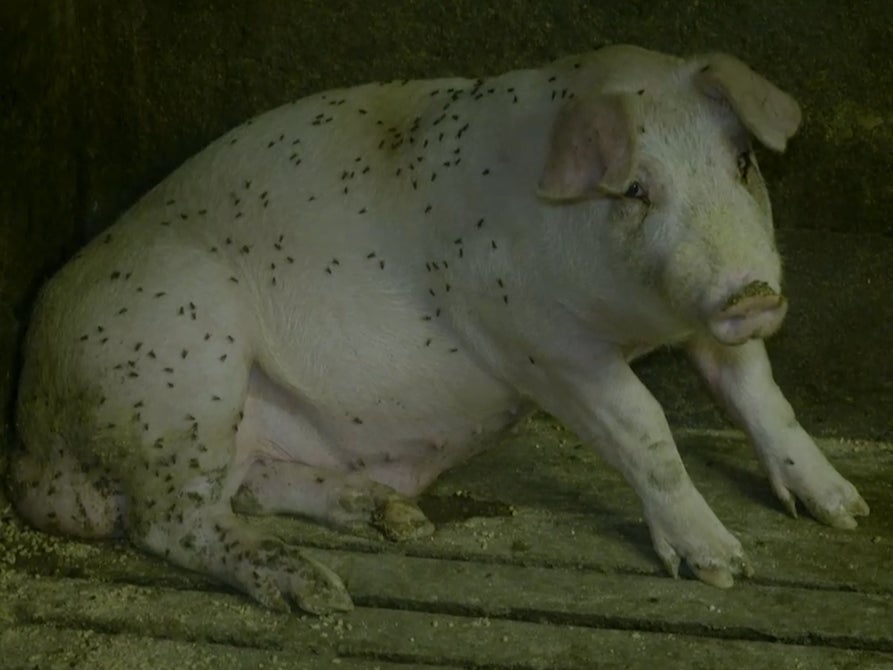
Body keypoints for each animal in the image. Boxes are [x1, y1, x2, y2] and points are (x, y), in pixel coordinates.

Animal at [9, 44, 868, 614]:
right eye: (633, 191)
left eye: (742, 165)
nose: (752, 292)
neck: (634, 321)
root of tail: (32, 438)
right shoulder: (539, 343)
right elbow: (646, 427)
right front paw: (723, 567)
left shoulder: (704, 332)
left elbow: (764, 400)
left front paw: (846, 511)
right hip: (177, 371)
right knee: (170, 523)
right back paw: (320, 593)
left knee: (247, 486)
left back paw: (393, 516)